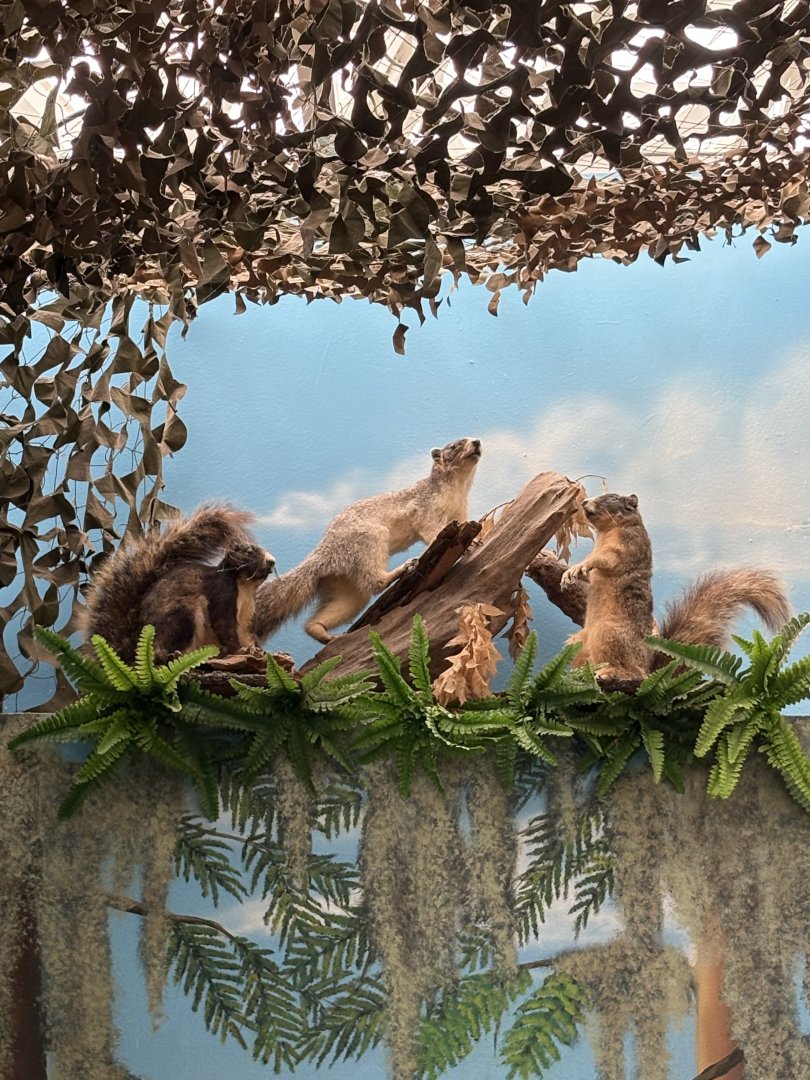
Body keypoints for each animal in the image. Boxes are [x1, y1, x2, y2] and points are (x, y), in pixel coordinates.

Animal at [80, 505, 275, 663]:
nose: (272, 561)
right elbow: (224, 626)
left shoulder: (248, 614)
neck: (245, 587)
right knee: (163, 653)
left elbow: (249, 634)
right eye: (248, 551)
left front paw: (258, 651)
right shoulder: (221, 593)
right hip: (183, 615)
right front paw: (239, 650)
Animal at [254, 436, 482, 644]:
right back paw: (402, 569)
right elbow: (432, 531)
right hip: (371, 539)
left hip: (348, 591)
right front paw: (468, 545)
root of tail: (323, 555)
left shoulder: (460, 513)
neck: (459, 489)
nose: (477, 442)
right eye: (453, 445)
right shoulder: (427, 512)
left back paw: (328, 636)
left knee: (315, 622)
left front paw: (477, 539)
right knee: (374, 582)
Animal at [559, 492, 790, 679]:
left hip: (610, 634)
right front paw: (571, 573)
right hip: (579, 644)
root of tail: (650, 668)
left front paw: (579, 567)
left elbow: (605, 559)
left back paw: (611, 672)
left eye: (610, 498)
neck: (610, 530)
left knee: (634, 673)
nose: (584, 502)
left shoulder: (627, 546)